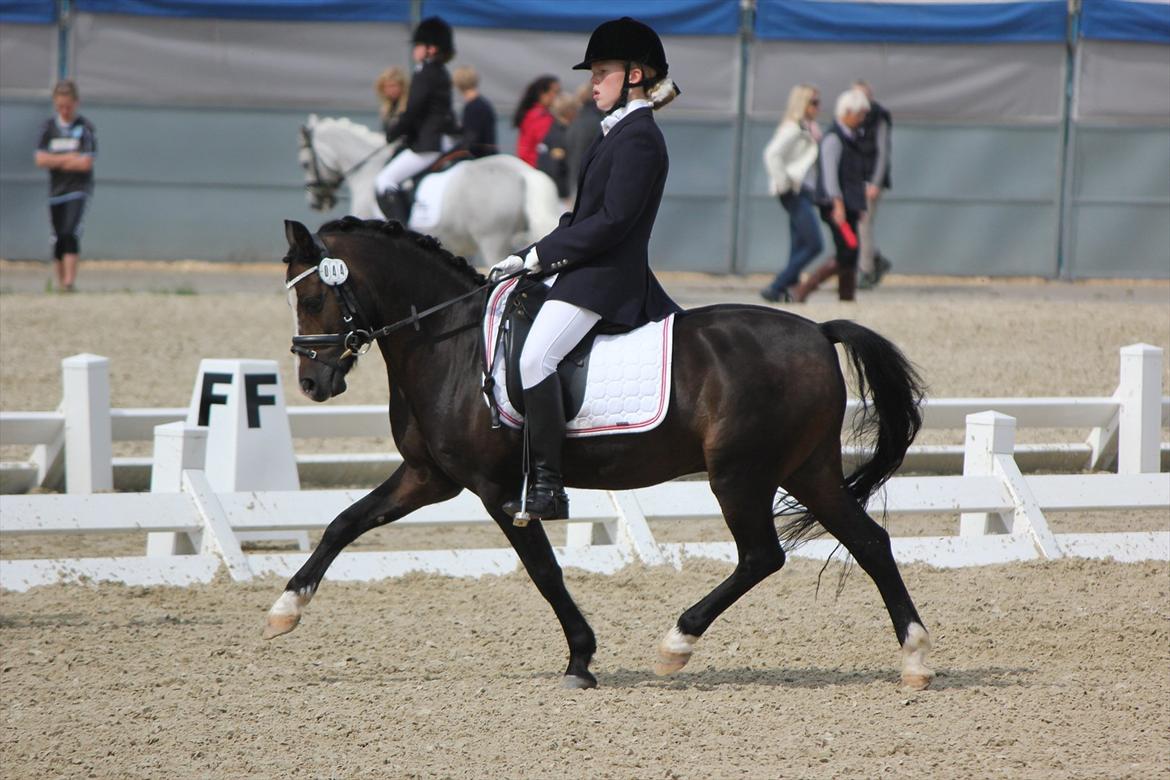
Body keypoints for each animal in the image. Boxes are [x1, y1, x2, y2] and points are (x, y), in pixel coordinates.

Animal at [265, 216, 936, 691]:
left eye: (316, 300)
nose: (312, 383)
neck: (446, 344)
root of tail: (818, 332)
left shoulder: (496, 489)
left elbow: (544, 571)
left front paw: (581, 659)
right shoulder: (427, 476)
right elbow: (344, 522)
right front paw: (284, 609)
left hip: (740, 475)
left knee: (762, 556)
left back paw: (676, 644)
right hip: (806, 470)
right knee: (869, 542)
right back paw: (915, 660)